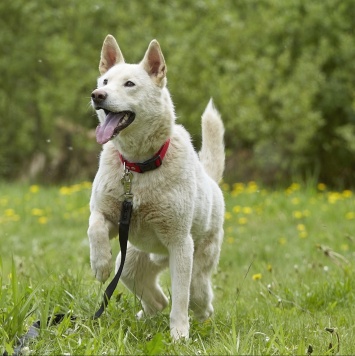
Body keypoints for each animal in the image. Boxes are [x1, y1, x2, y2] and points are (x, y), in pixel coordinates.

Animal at [88, 34, 225, 340]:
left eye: (129, 84)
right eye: (105, 81)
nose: (97, 95)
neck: (138, 167)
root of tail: (211, 182)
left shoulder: (180, 244)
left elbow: (181, 298)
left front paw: (179, 335)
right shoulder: (109, 218)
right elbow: (95, 227)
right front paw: (100, 265)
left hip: (196, 262)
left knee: (198, 296)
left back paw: (201, 317)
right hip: (130, 262)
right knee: (157, 298)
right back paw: (144, 316)